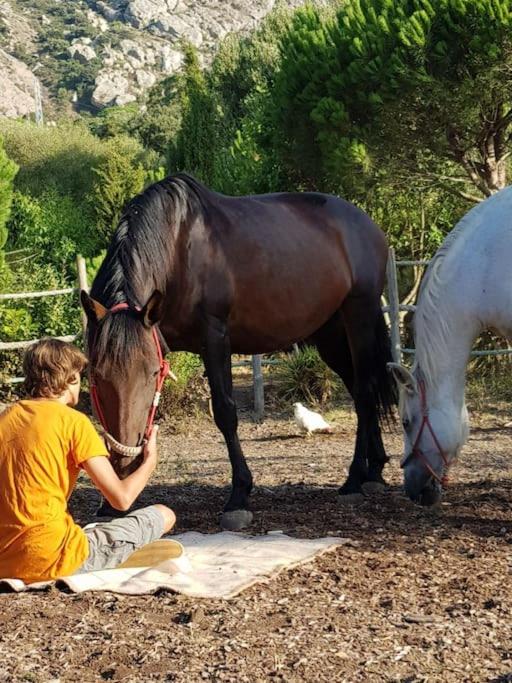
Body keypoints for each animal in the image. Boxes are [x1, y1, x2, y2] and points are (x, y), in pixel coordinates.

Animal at [81, 173, 396, 529]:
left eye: (152, 373)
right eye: (95, 374)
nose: (124, 463)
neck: (178, 249)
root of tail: (367, 225)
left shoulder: (215, 338)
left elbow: (225, 412)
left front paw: (239, 497)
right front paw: (109, 503)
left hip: (359, 318)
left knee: (365, 390)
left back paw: (356, 479)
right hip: (330, 334)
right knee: (359, 390)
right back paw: (374, 470)